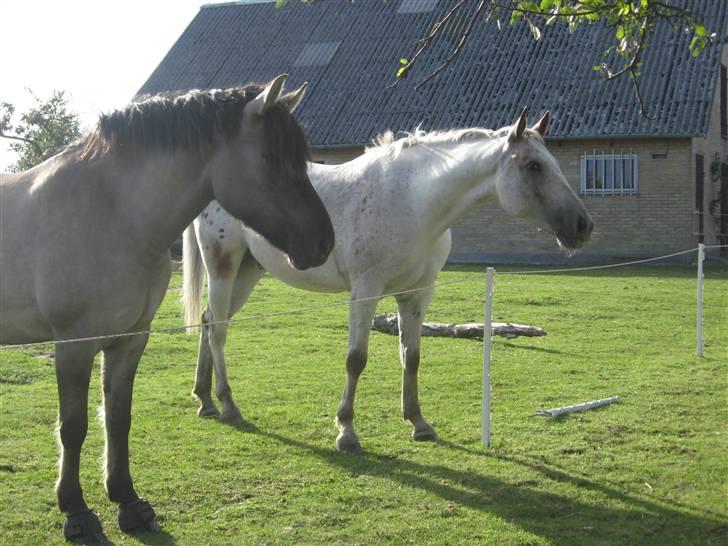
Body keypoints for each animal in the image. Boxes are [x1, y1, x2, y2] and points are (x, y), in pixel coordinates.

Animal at [0, 74, 336, 540]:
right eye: (271, 158)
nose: (324, 242)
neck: (113, 213)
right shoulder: (74, 344)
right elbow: (74, 426)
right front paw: (77, 512)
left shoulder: (129, 340)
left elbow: (117, 418)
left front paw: (127, 501)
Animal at [182, 108, 592, 452]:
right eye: (534, 166)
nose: (582, 226)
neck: (412, 202)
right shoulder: (365, 292)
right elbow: (356, 359)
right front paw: (346, 431)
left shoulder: (417, 295)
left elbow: (412, 356)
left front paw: (418, 422)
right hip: (223, 265)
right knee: (218, 329)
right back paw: (228, 404)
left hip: (248, 271)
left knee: (207, 321)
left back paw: (205, 400)